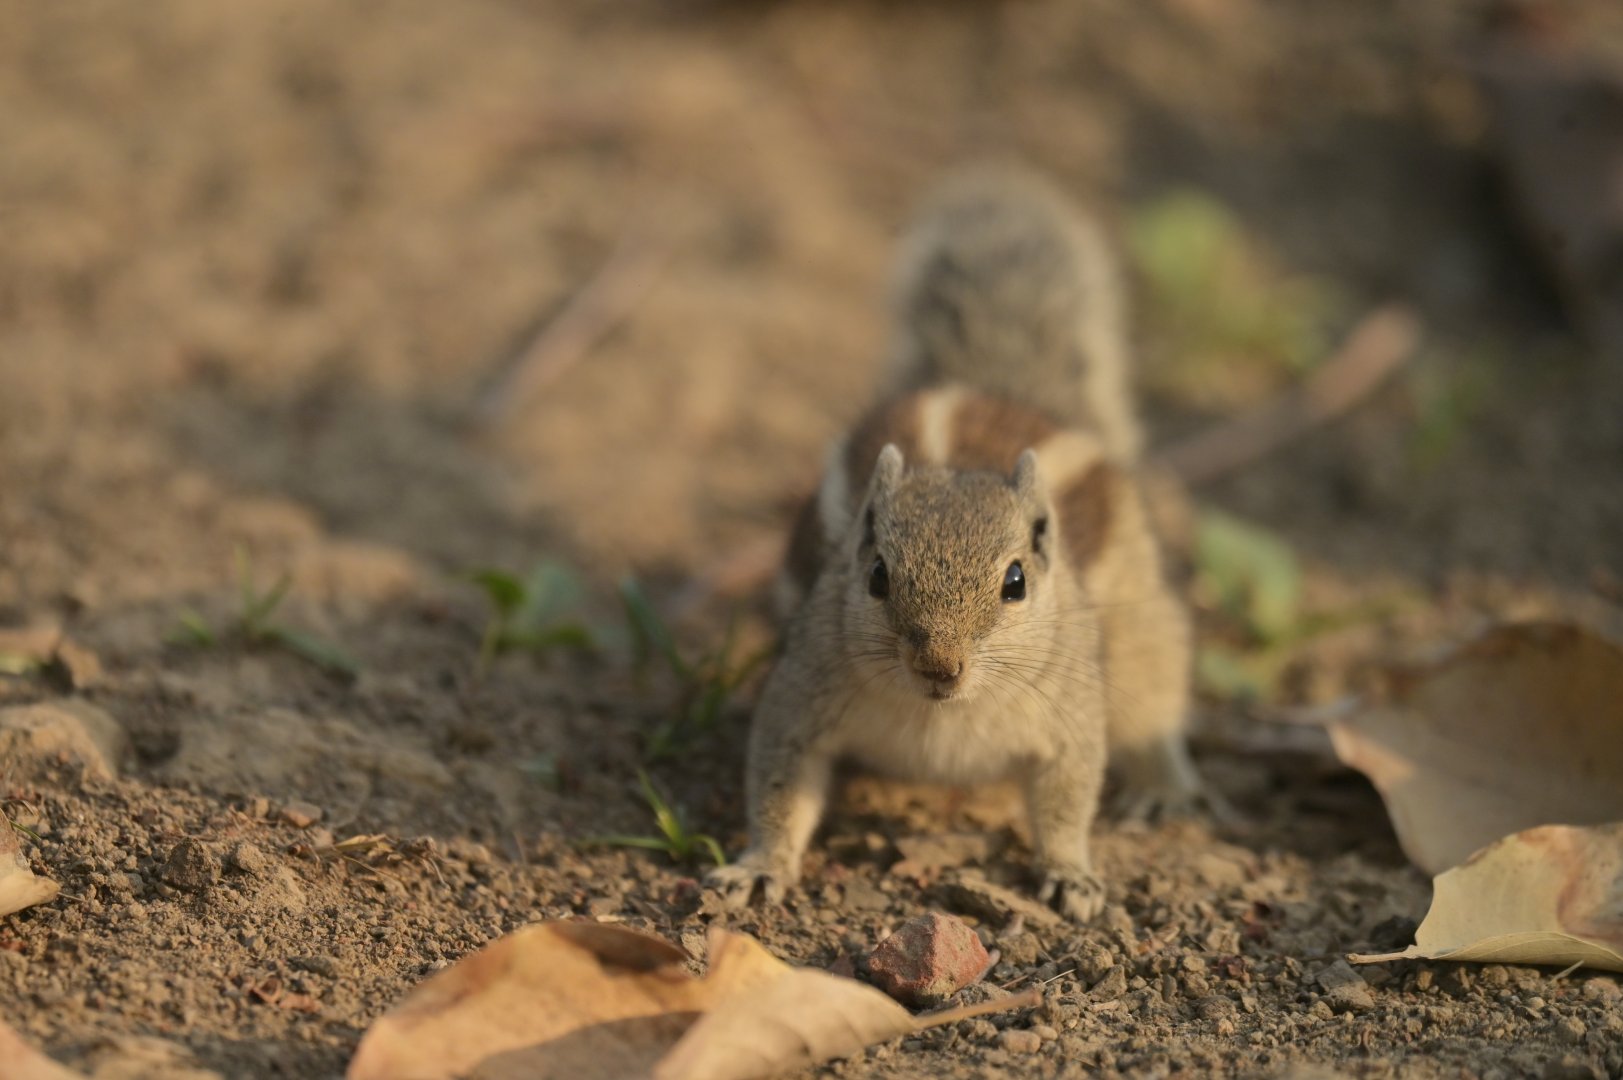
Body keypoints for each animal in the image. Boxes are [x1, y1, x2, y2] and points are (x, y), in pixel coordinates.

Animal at [708, 166, 1204, 921]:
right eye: (877, 575)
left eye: (1015, 582)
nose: (939, 666)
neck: (941, 718)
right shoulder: (801, 694)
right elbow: (778, 784)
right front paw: (759, 865)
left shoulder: (1068, 716)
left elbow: (1067, 795)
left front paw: (1071, 873)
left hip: (1144, 627)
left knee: (1155, 701)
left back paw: (1161, 785)